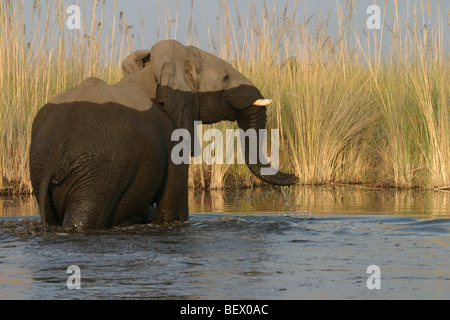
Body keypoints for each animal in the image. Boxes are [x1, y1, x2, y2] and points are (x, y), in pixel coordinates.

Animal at [29, 40, 298, 231]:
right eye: (225, 78)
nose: (296, 178)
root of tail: (55, 157)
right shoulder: (172, 137)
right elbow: (172, 211)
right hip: (97, 175)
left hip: (42, 170)